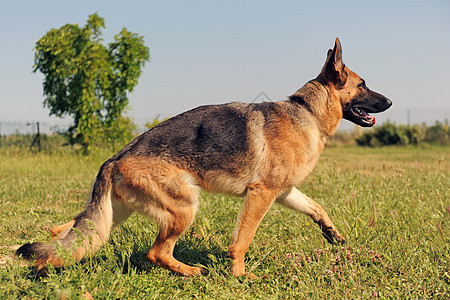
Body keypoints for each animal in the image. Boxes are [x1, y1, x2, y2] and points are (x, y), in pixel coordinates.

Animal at [16, 38, 390, 278]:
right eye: (363, 84)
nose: (390, 102)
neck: (307, 113)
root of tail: (115, 159)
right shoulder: (262, 194)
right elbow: (242, 240)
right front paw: (240, 277)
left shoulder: (283, 192)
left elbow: (317, 207)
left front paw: (333, 235)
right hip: (184, 207)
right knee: (156, 252)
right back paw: (192, 272)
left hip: (112, 218)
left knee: (66, 236)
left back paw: (43, 270)